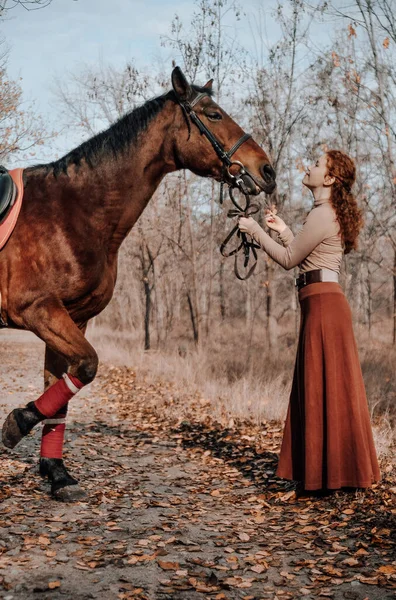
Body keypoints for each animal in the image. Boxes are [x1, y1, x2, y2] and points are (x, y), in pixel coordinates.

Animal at [0, 67, 276, 502]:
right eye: (213, 114)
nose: (266, 171)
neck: (73, 210)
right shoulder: (39, 311)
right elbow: (87, 367)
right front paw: (17, 422)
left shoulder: (72, 318)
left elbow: (60, 395)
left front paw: (57, 473)